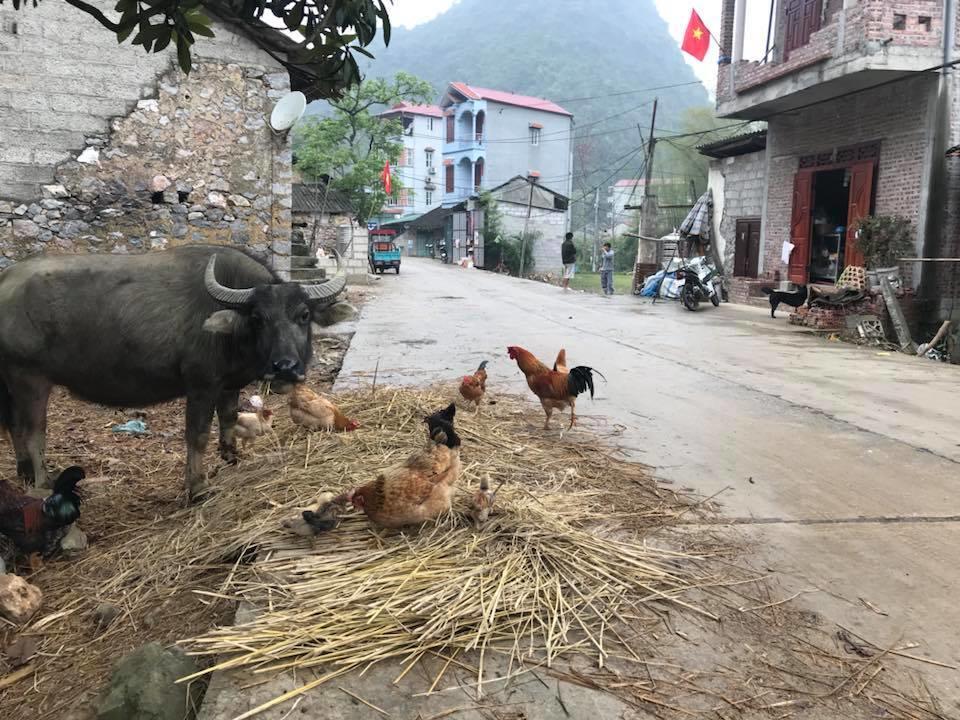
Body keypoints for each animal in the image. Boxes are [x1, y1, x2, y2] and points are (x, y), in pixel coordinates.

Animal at [0, 245, 354, 498]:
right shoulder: (201, 386)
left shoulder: (228, 385)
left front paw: (231, 458)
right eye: (257, 318)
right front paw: (196, 486)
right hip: (30, 378)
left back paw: (25, 472)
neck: (229, 331)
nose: (285, 367)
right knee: (33, 432)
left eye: (304, 314)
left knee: (14, 427)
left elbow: (228, 419)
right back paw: (43, 482)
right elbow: (197, 435)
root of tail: (7, 278)